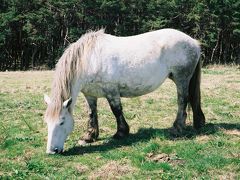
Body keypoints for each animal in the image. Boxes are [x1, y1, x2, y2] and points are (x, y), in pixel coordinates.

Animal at [43, 28, 204, 154]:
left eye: (62, 122)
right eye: (47, 122)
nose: (52, 151)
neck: (89, 60)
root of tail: (193, 42)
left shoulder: (111, 91)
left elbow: (116, 110)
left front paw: (121, 132)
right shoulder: (90, 94)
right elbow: (92, 113)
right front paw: (89, 136)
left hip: (181, 79)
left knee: (182, 100)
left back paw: (177, 128)